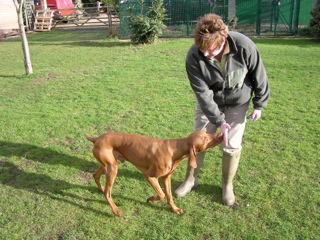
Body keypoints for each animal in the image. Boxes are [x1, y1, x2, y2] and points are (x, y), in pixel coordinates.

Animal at [84, 130, 222, 217]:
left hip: (108, 165)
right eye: (206, 138)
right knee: (108, 192)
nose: (220, 134)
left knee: (95, 176)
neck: (175, 150)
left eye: (206, 133)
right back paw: (115, 210)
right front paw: (150, 199)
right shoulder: (150, 176)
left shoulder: (166, 178)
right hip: (112, 168)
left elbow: (169, 196)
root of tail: (97, 138)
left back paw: (101, 189)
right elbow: (161, 194)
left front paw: (174, 209)